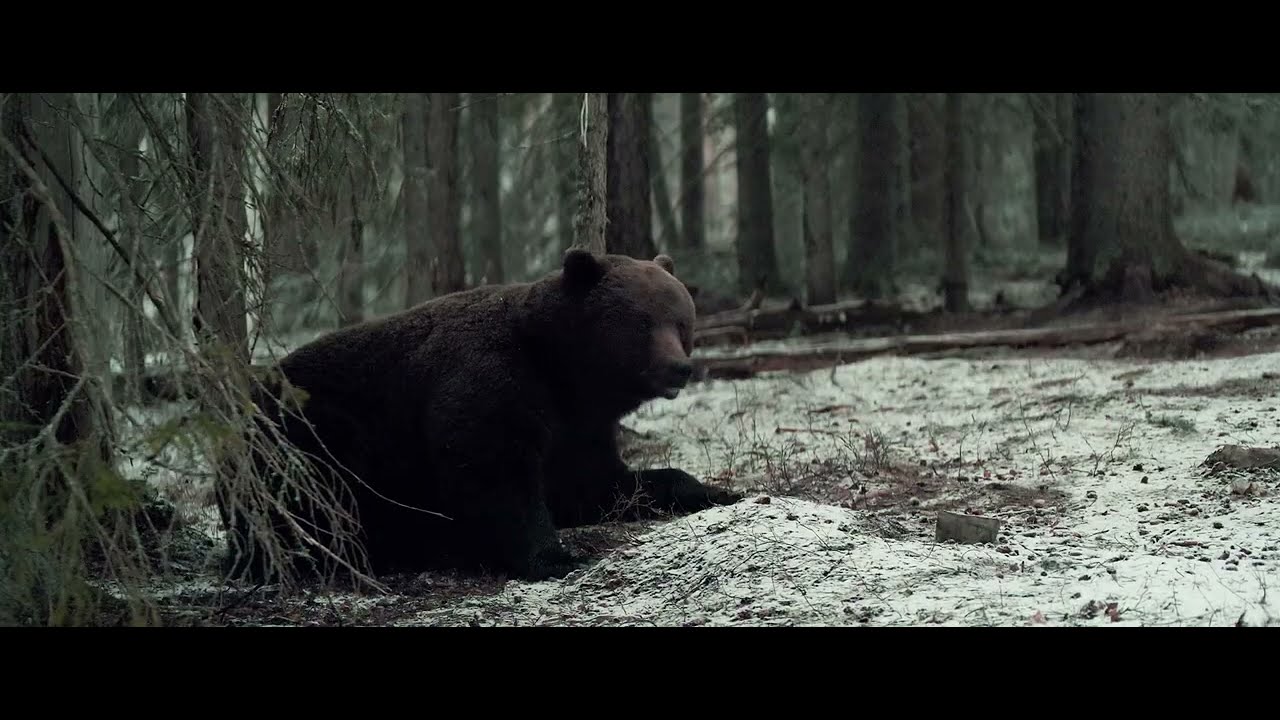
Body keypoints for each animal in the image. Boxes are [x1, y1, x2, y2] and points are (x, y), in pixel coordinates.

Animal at [215, 248, 741, 585]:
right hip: (308, 431)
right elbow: (493, 475)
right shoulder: (487, 383)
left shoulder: (578, 428)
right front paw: (554, 556)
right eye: (641, 322)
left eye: (681, 320)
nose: (679, 367)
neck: (558, 369)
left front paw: (715, 490)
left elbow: (598, 482)